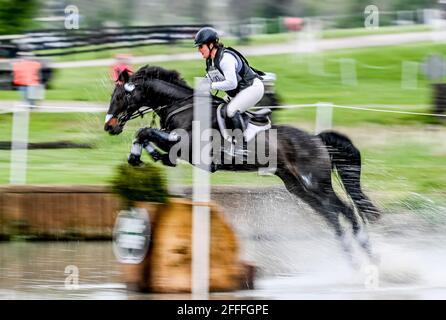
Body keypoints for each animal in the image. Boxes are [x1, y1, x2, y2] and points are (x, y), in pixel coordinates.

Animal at [103, 65, 380, 268]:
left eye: (120, 96)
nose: (109, 126)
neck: (182, 107)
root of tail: (317, 139)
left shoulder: (187, 146)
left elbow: (144, 131)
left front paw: (139, 153)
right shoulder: (179, 150)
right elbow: (147, 137)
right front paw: (138, 156)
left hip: (314, 183)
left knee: (343, 211)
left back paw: (364, 257)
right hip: (298, 188)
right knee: (333, 216)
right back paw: (361, 258)